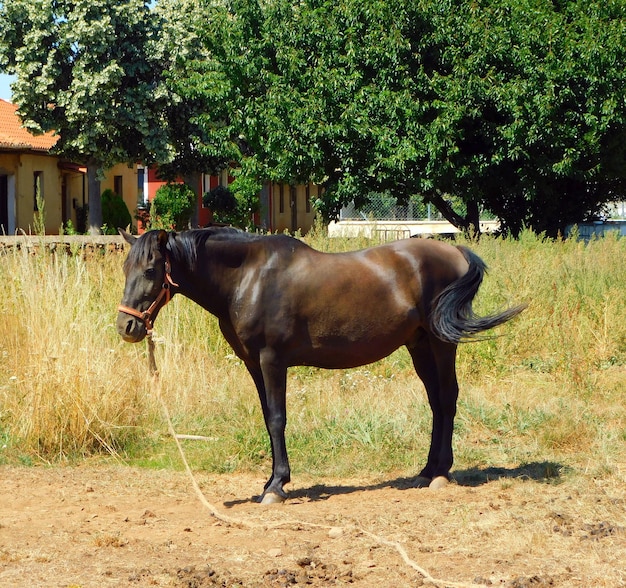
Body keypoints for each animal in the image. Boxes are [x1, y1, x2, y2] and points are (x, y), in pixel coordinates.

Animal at [116, 227, 520, 504]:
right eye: (125, 268)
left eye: (151, 270)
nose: (126, 326)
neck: (249, 277)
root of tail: (453, 250)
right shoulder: (253, 364)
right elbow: (268, 418)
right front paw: (270, 481)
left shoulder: (272, 360)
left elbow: (277, 419)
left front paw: (277, 486)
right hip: (419, 344)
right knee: (437, 401)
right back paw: (427, 471)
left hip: (440, 343)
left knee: (447, 399)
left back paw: (440, 473)